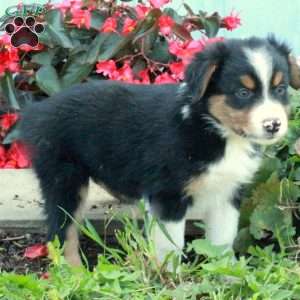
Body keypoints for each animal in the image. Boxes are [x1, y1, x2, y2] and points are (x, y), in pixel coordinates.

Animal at [20, 36, 300, 264]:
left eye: (280, 89)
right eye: (243, 92)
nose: (273, 125)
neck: (215, 131)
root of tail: (37, 109)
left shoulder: (227, 193)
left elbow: (222, 241)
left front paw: (227, 275)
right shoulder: (167, 195)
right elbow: (171, 247)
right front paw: (172, 280)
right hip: (64, 179)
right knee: (61, 232)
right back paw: (76, 274)